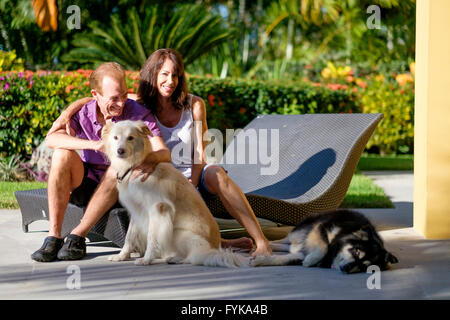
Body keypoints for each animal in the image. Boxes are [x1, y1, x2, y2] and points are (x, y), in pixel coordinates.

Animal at [100, 120, 248, 268]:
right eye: (115, 138)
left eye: (130, 138)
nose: (120, 151)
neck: (133, 166)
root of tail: (214, 249)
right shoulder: (137, 210)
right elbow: (129, 237)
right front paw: (121, 256)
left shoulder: (158, 209)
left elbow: (152, 238)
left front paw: (146, 259)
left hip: (178, 233)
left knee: (194, 257)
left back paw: (176, 259)